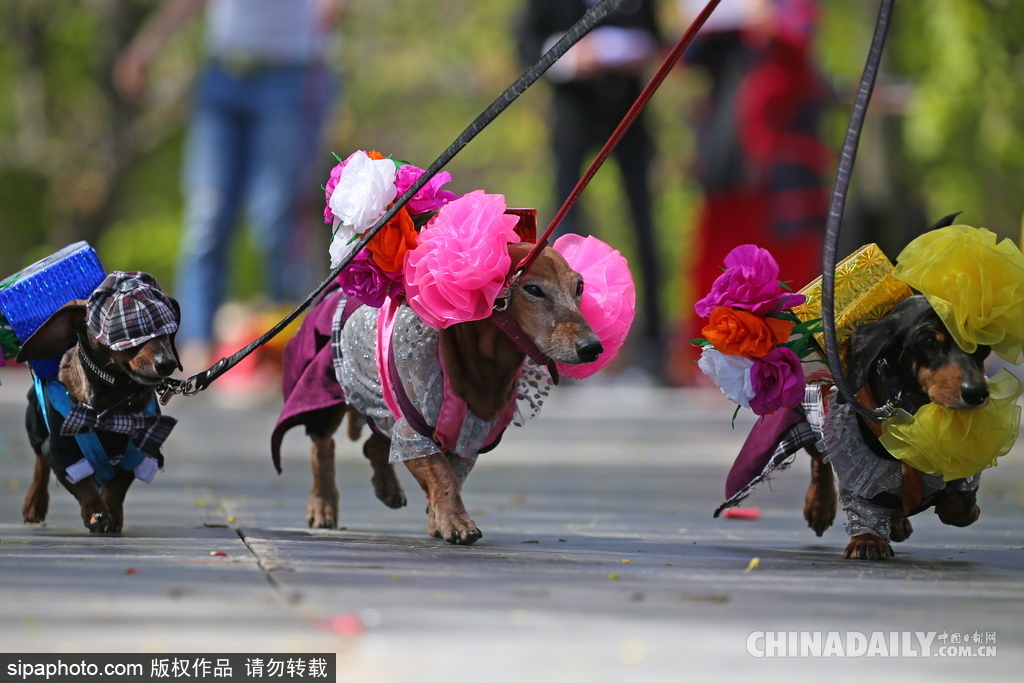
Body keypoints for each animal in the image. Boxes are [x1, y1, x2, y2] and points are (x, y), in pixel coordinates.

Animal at [17, 272, 181, 532]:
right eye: (126, 333)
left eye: (167, 329)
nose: (167, 363)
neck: (114, 400)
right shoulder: (62, 451)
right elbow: (81, 483)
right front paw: (95, 511)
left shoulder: (139, 447)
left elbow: (117, 485)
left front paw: (112, 514)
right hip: (35, 422)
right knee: (41, 461)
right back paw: (35, 504)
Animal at [276, 244, 602, 544]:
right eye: (533, 289)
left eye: (579, 287)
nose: (592, 347)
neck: (482, 363)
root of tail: (337, 291)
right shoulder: (413, 431)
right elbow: (442, 474)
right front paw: (456, 522)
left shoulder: (468, 439)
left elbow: (452, 475)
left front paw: (440, 517)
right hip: (328, 393)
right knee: (322, 446)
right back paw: (323, 506)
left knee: (374, 444)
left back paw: (387, 488)